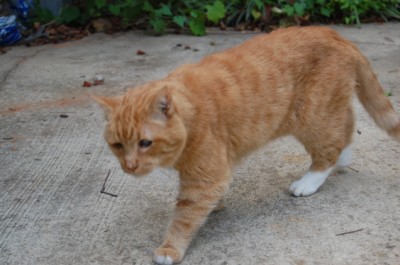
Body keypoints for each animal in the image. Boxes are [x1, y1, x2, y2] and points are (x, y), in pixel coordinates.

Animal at [93, 26, 396, 262]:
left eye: (145, 143)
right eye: (117, 145)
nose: (130, 166)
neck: (190, 113)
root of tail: (333, 33)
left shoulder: (204, 177)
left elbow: (184, 215)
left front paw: (170, 248)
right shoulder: (212, 173)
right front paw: (215, 205)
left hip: (313, 118)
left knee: (330, 147)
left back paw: (310, 181)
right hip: (327, 111)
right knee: (346, 125)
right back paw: (344, 159)